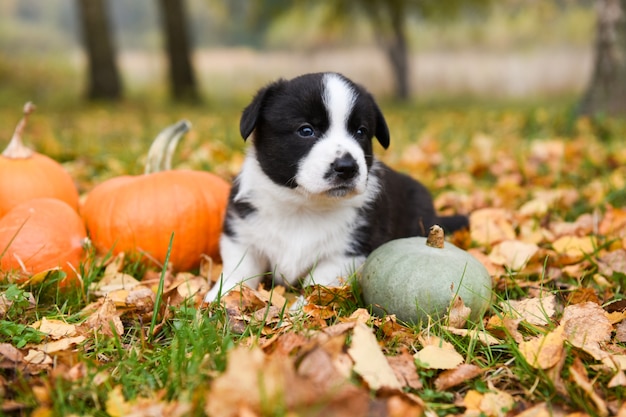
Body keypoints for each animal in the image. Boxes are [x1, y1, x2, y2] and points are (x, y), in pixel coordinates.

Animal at [202, 72, 466, 302]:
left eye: (361, 131)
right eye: (306, 130)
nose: (347, 167)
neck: (303, 207)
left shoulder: (347, 253)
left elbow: (317, 285)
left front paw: (300, 311)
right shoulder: (241, 236)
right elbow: (238, 272)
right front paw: (218, 299)